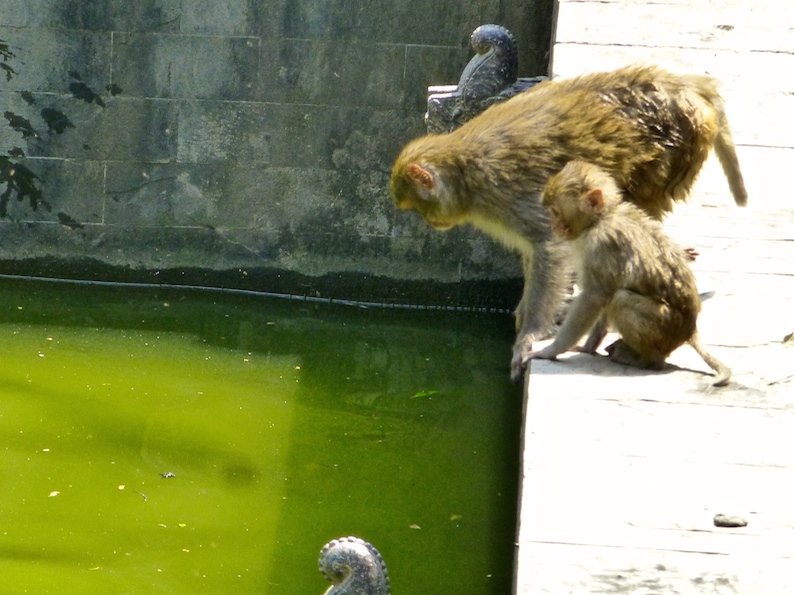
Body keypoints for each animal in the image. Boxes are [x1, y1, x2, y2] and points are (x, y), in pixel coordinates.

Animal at [527, 160, 730, 387]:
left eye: (555, 211)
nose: (553, 226)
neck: (601, 218)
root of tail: (690, 331)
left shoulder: (600, 243)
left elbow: (594, 297)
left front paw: (551, 351)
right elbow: (602, 295)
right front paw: (589, 346)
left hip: (666, 327)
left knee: (621, 300)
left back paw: (648, 360)